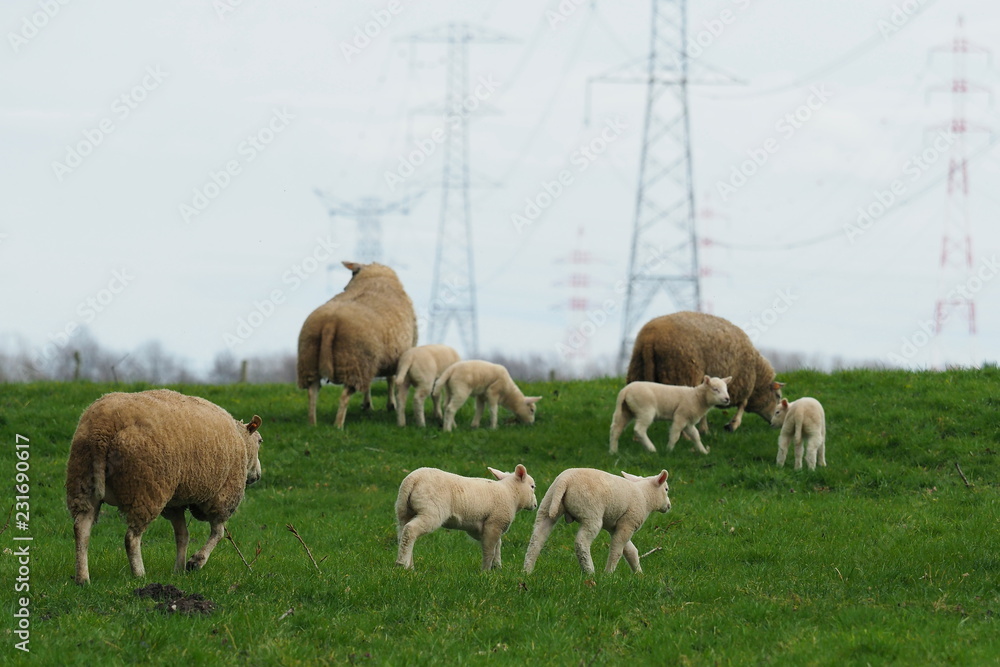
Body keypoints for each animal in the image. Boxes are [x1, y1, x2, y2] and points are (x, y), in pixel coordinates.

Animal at [65, 389, 263, 584]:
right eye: (260, 441)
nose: (258, 475)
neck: (241, 440)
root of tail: (103, 428)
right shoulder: (223, 495)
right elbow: (218, 533)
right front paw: (195, 562)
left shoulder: (174, 503)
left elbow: (182, 535)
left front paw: (179, 570)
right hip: (145, 490)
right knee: (131, 537)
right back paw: (139, 574)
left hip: (82, 480)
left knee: (81, 528)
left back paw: (82, 578)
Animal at [297, 261, 418, 428]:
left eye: (352, 273)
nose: (344, 288)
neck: (374, 279)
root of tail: (330, 322)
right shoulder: (394, 355)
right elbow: (390, 379)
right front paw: (389, 405)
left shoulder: (376, 360)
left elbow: (374, 383)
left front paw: (369, 405)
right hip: (355, 361)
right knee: (345, 396)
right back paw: (338, 425)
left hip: (310, 360)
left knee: (312, 393)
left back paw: (312, 424)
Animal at [395, 464, 538, 570]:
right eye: (532, 487)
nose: (535, 504)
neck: (511, 493)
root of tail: (413, 479)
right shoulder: (494, 523)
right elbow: (490, 549)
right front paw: (486, 571)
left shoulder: (485, 527)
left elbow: (497, 545)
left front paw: (497, 567)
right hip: (431, 511)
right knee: (410, 530)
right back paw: (402, 564)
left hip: (403, 511)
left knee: (403, 534)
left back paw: (409, 566)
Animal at [523, 468, 670, 575]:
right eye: (666, 489)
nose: (669, 506)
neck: (645, 496)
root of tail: (565, 480)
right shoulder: (628, 523)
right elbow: (617, 549)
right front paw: (609, 573)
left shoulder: (614, 526)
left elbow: (630, 551)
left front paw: (639, 574)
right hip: (591, 512)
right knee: (581, 542)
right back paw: (590, 572)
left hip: (547, 505)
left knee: (536, 539)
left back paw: (527, 571)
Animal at [626, 311, 784, 433]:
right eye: (777, 396)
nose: (774, 424)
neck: (757, 375)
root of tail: (650, 338)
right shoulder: (743, 383)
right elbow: (742, 404)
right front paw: (732, 425)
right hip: (683, 374)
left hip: (638, 371)